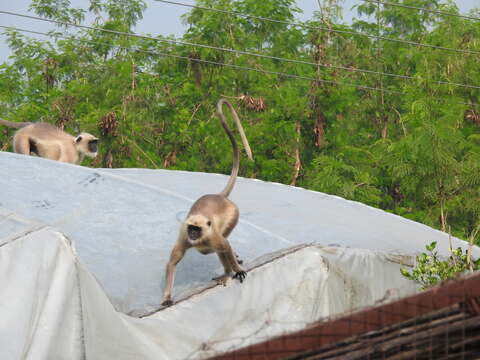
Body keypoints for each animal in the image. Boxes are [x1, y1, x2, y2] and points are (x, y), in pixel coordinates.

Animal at [161, 98, 253, 306]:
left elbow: (225, 246)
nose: (194, 234)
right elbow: (172, 261)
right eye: (191, 229)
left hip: (232, 216)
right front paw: (167, 297)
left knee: (223, 245)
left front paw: (237, 270)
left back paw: (229, 271)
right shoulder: (183, 234)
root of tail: (220, 196)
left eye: (197, 229)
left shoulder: (211, 236)